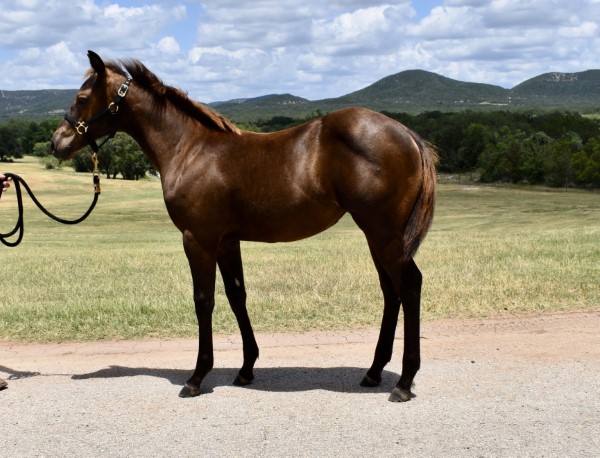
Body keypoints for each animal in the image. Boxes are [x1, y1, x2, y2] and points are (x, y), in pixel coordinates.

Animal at [51, 51, 436, 400]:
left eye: (82, 98)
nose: (57, 141)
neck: (190, 149)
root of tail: (408, 134)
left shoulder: (198, 239)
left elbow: (203, 300)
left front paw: (197, 377)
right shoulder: (226, 241)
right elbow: (237, 296)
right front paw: (246, 369)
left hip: (385, 235)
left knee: (409, 286)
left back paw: (403, 383)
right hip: (377, 236)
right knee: (391, 291)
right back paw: (374, 372)